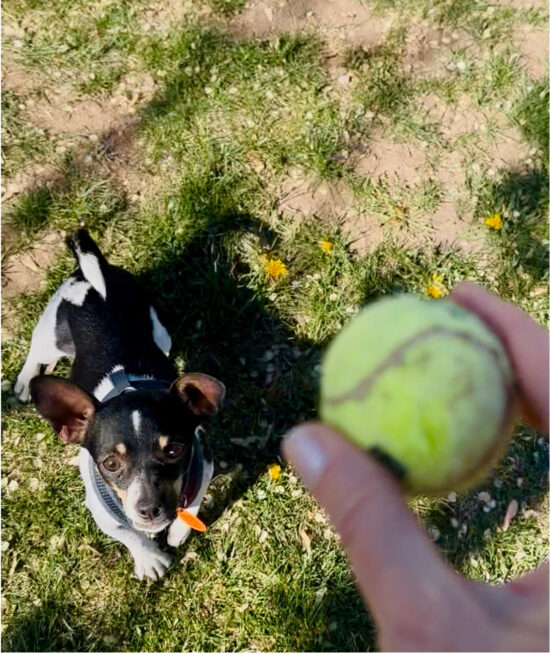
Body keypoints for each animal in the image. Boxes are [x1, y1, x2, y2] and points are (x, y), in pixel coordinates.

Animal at [15, 229, 225, 580]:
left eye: (175, 451)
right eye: (110, 464)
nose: (148, 508)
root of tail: (94, 276)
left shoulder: (203, 464)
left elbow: (193, 500)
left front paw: (178, 531)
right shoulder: (101, 511)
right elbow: (127, 532)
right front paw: (150, 558)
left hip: (160, 332)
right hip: (50, 336)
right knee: (36, 352)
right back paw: (24, 378)